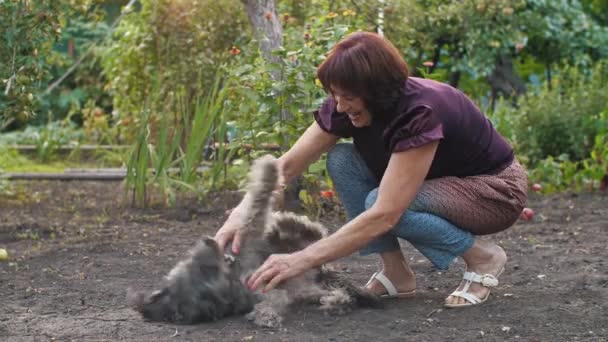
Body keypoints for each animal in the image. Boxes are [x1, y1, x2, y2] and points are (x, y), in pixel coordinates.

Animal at [127, 154, 380, 326]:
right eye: (205, 266)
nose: (210, 243)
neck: (230, 278)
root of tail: (320, 269)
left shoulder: (250, 242)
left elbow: (255, 206)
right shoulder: (273, 285)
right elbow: (257, 207)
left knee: (309, 230)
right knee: (315, 236)